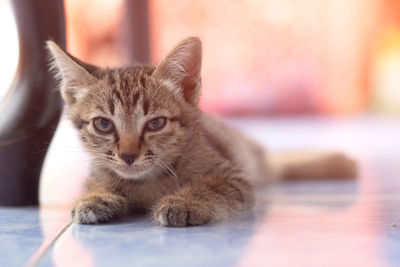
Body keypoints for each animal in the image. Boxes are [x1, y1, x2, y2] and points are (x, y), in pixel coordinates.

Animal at [47, 36, 356, 227]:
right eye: (104, 124)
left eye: (155, 123)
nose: (128, 156)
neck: (148, 182)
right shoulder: (100, 168)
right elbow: (95, 182)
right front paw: (94, 197)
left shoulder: (235, 177)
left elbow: (214, 188)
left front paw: (185, 202)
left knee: (274, 162)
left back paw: (337, 162)